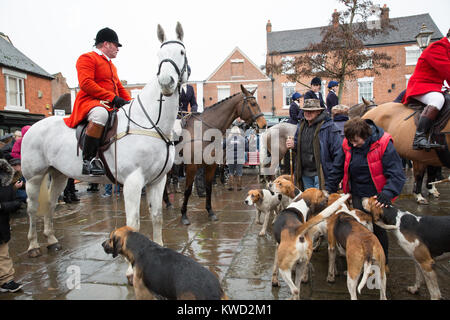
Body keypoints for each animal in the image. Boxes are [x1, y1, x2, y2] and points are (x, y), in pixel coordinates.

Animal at [178, 85, 266, 225]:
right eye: (253, 104)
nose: (263, 124)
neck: (203, 131)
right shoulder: (191, 167)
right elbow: (187, 190)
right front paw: (184, 215)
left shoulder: (211, 165)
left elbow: (209, 187)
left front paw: (210, 211)